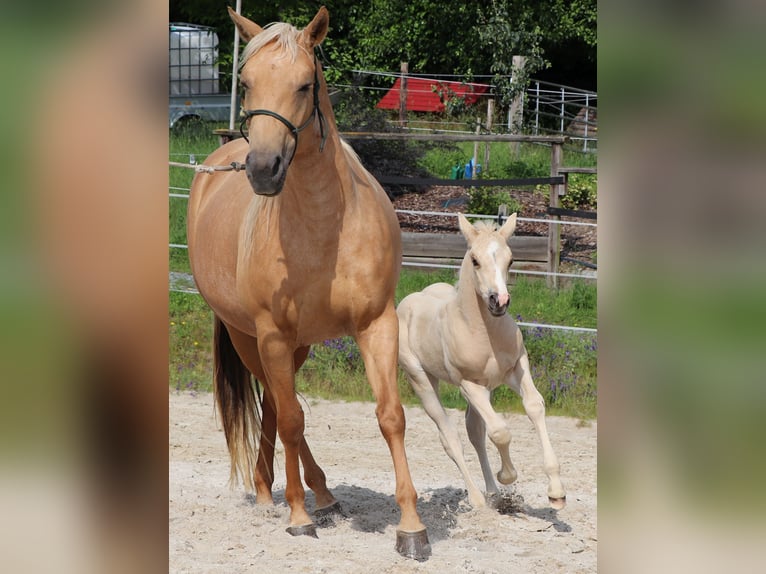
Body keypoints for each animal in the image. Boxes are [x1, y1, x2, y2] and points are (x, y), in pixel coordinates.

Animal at [184, 6, 428, 560]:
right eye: (246, 83)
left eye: (303, 84)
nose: (263, 169)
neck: (323, 226)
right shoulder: (272, 333)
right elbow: (294, 418)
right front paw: (298, 517)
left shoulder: (376, 325)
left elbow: (391, 416)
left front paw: (411, 527)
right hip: (251, 338)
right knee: (279, 406)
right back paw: (280, 493)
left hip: (296, 347)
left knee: (277, 404)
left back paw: (316, 492)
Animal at [400, 216, 568, 512]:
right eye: (475, 260)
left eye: (511, 260)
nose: (499, 301)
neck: (484, 332)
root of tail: (406, 302)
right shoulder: (469, 384)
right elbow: (500, 431)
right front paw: (508, 475)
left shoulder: (516, 368)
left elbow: (534, 407)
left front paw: (556, 492)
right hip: (421, 379)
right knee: (450, 436)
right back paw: (477, 500)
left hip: (485, 389)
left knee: (475, 432)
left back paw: (492, 493)